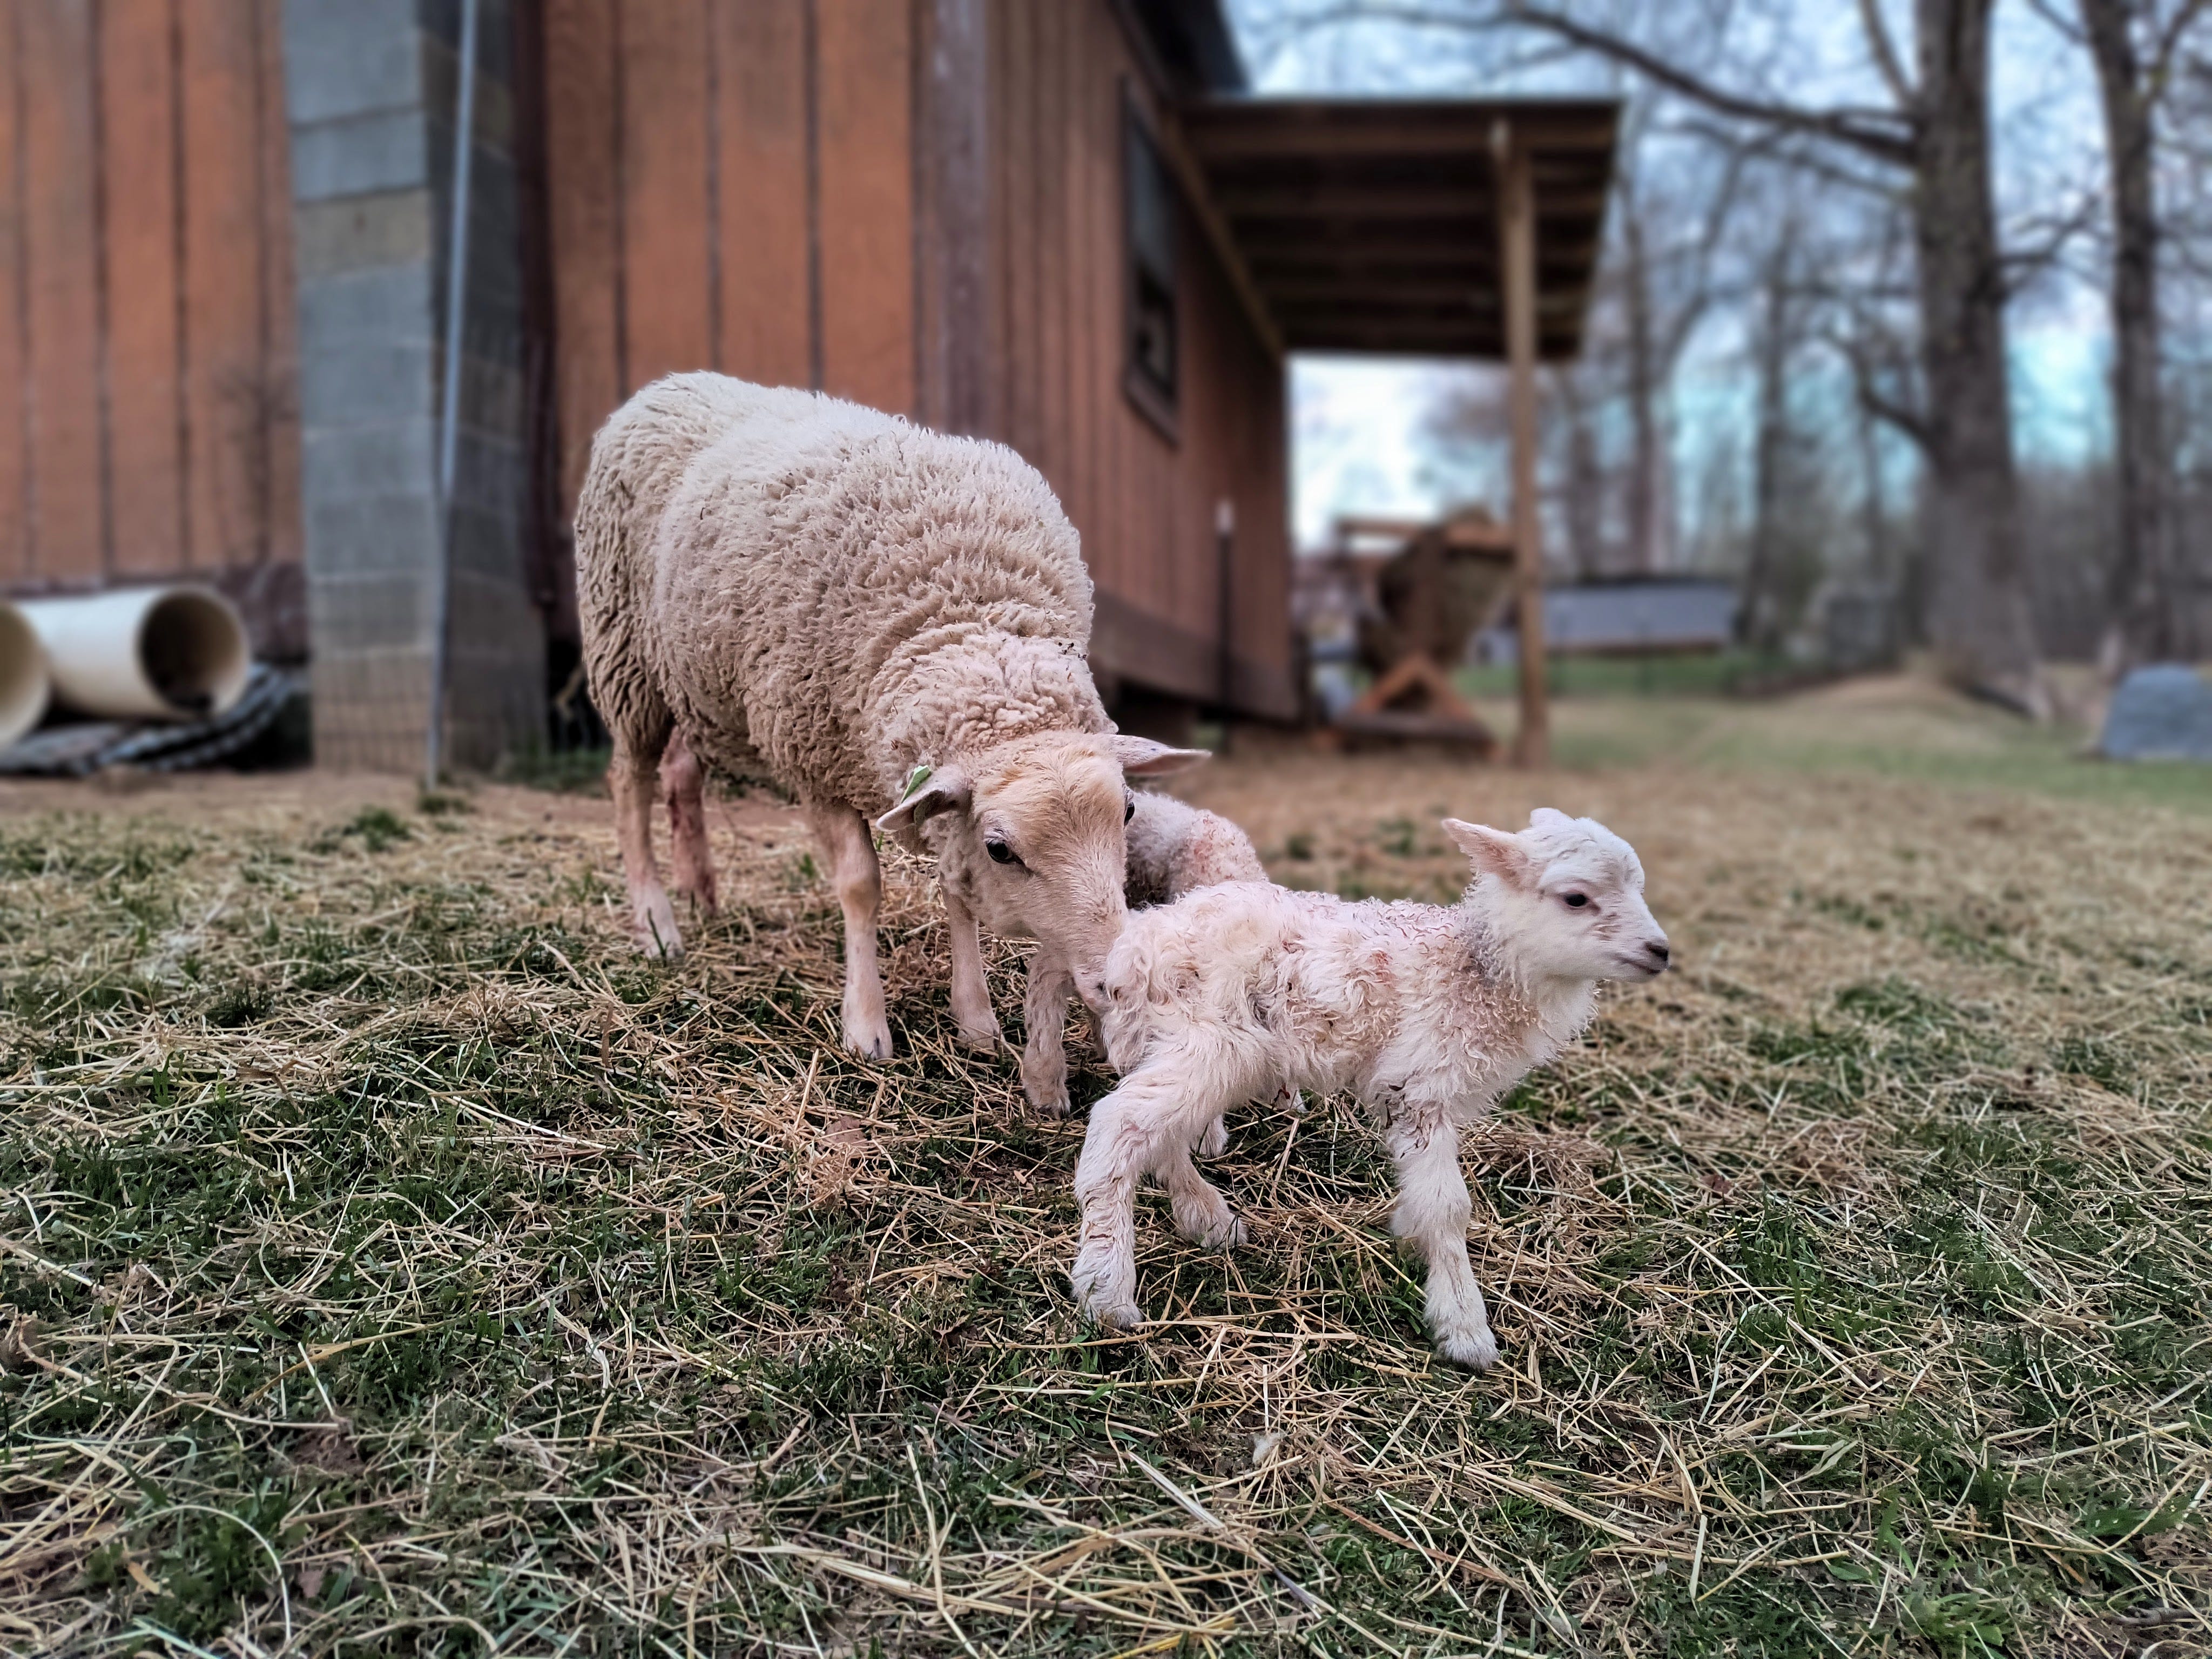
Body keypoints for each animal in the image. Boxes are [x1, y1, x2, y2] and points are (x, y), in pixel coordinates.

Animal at [575, 372, 1204, 1074]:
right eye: (1002, 850)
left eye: (1128, 813)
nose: (1114, 986)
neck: (963, 615)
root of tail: (668, 384)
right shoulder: (815, 759)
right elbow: (859, 887)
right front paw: (866, 1025)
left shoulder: (938, 798)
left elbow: (956, 893)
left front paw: (976, 1018)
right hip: (624, 651)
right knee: (629, 782)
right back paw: (659, 923)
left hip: (693, 680)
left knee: (682, 773)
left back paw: (702, 895)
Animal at [1069, 808, 1669, 1370]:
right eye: (1576, 898)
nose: (1660, 951)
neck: (1476, 971)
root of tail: (1134, 949)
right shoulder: (1420, 1085)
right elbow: (1448, 1206)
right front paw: (1464, 1326)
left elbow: (1425, 1193)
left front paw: (1409, 1233)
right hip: (1211, 1041)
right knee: (1119, 1125)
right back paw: (1107, 1292)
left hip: (1192, 1047)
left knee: (1159, 1131)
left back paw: (1207, 1218)